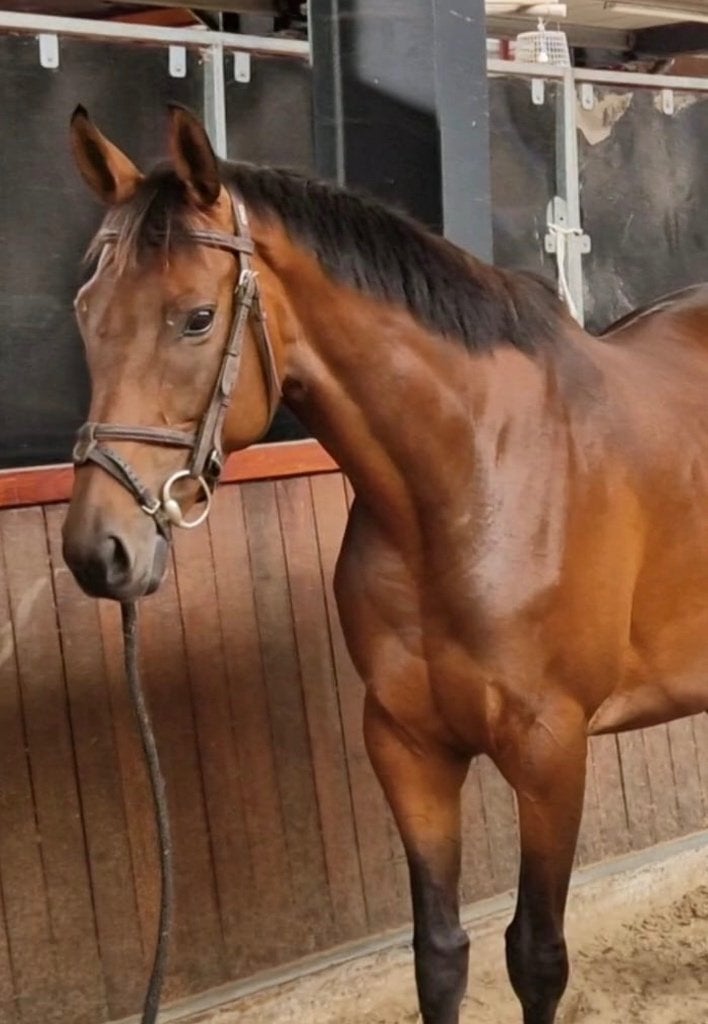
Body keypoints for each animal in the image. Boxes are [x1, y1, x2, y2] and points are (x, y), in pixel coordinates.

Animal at [61, 104, 708, 1024]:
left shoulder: (551, 752)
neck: (471, 478)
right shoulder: (407, 746)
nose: (99, 549)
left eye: (195, 317)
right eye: (88, 309)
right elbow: (438, 954)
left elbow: (537, 955)